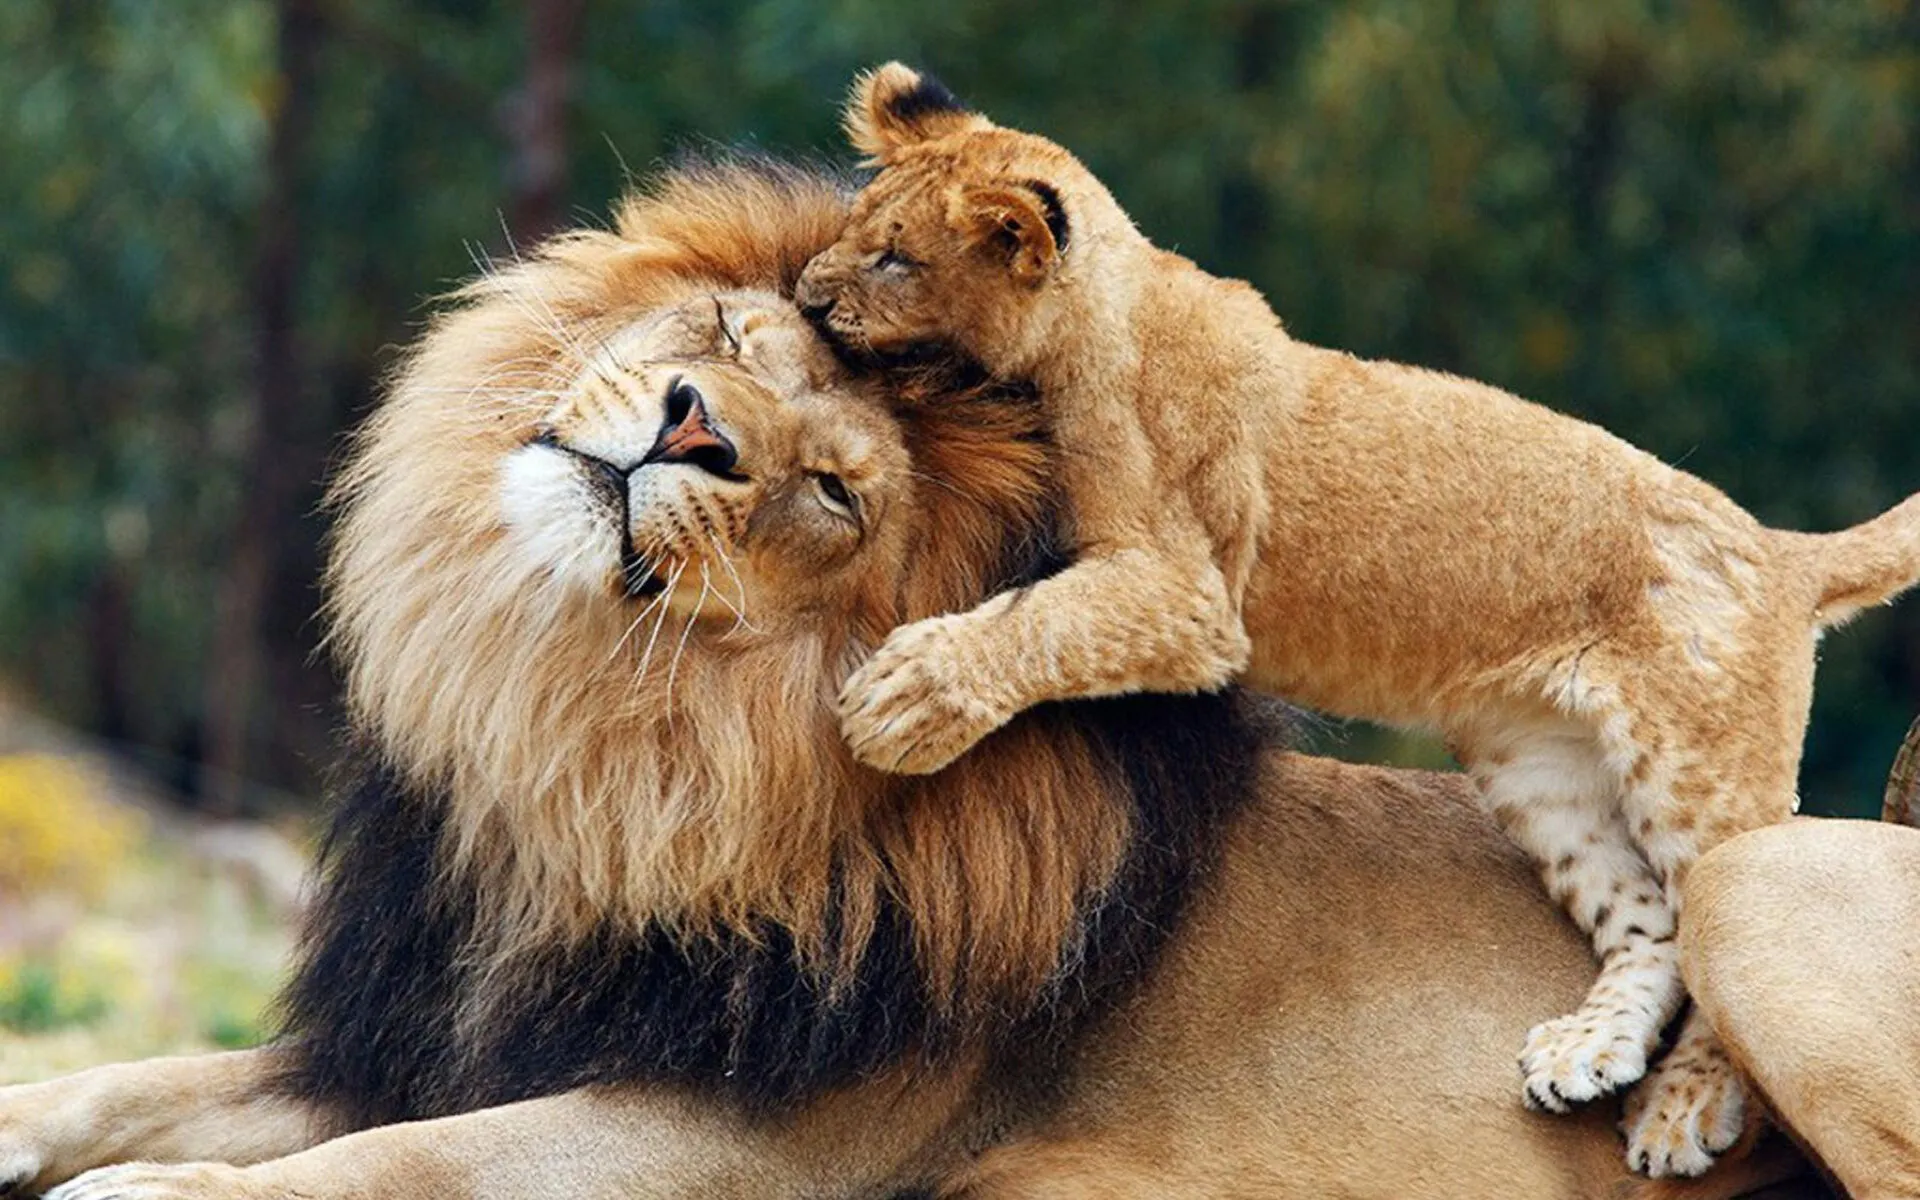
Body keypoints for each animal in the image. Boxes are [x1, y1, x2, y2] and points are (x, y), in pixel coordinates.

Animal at [0, 157, 1861, 1200]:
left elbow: (411, 1163)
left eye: (836, 491)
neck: (610, 755)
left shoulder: (755, 1135)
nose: (688, 430)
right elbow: (131, 1081)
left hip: (1767, 887)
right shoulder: (430, 1022)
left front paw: (155, 1199)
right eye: (740, 341)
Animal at [792, 63, 1920, 1175]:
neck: (1101, 319)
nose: (804, 295)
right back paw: (1586, 1053)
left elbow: (1044, 620)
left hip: (1697, 775)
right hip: (1541, 772)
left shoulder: (1188, 596)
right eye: (858, 226)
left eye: (895, 258)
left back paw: (1683, 1109)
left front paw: (903, 703)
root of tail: (1780, 547)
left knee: (1716, 914)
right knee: (1648, 926)